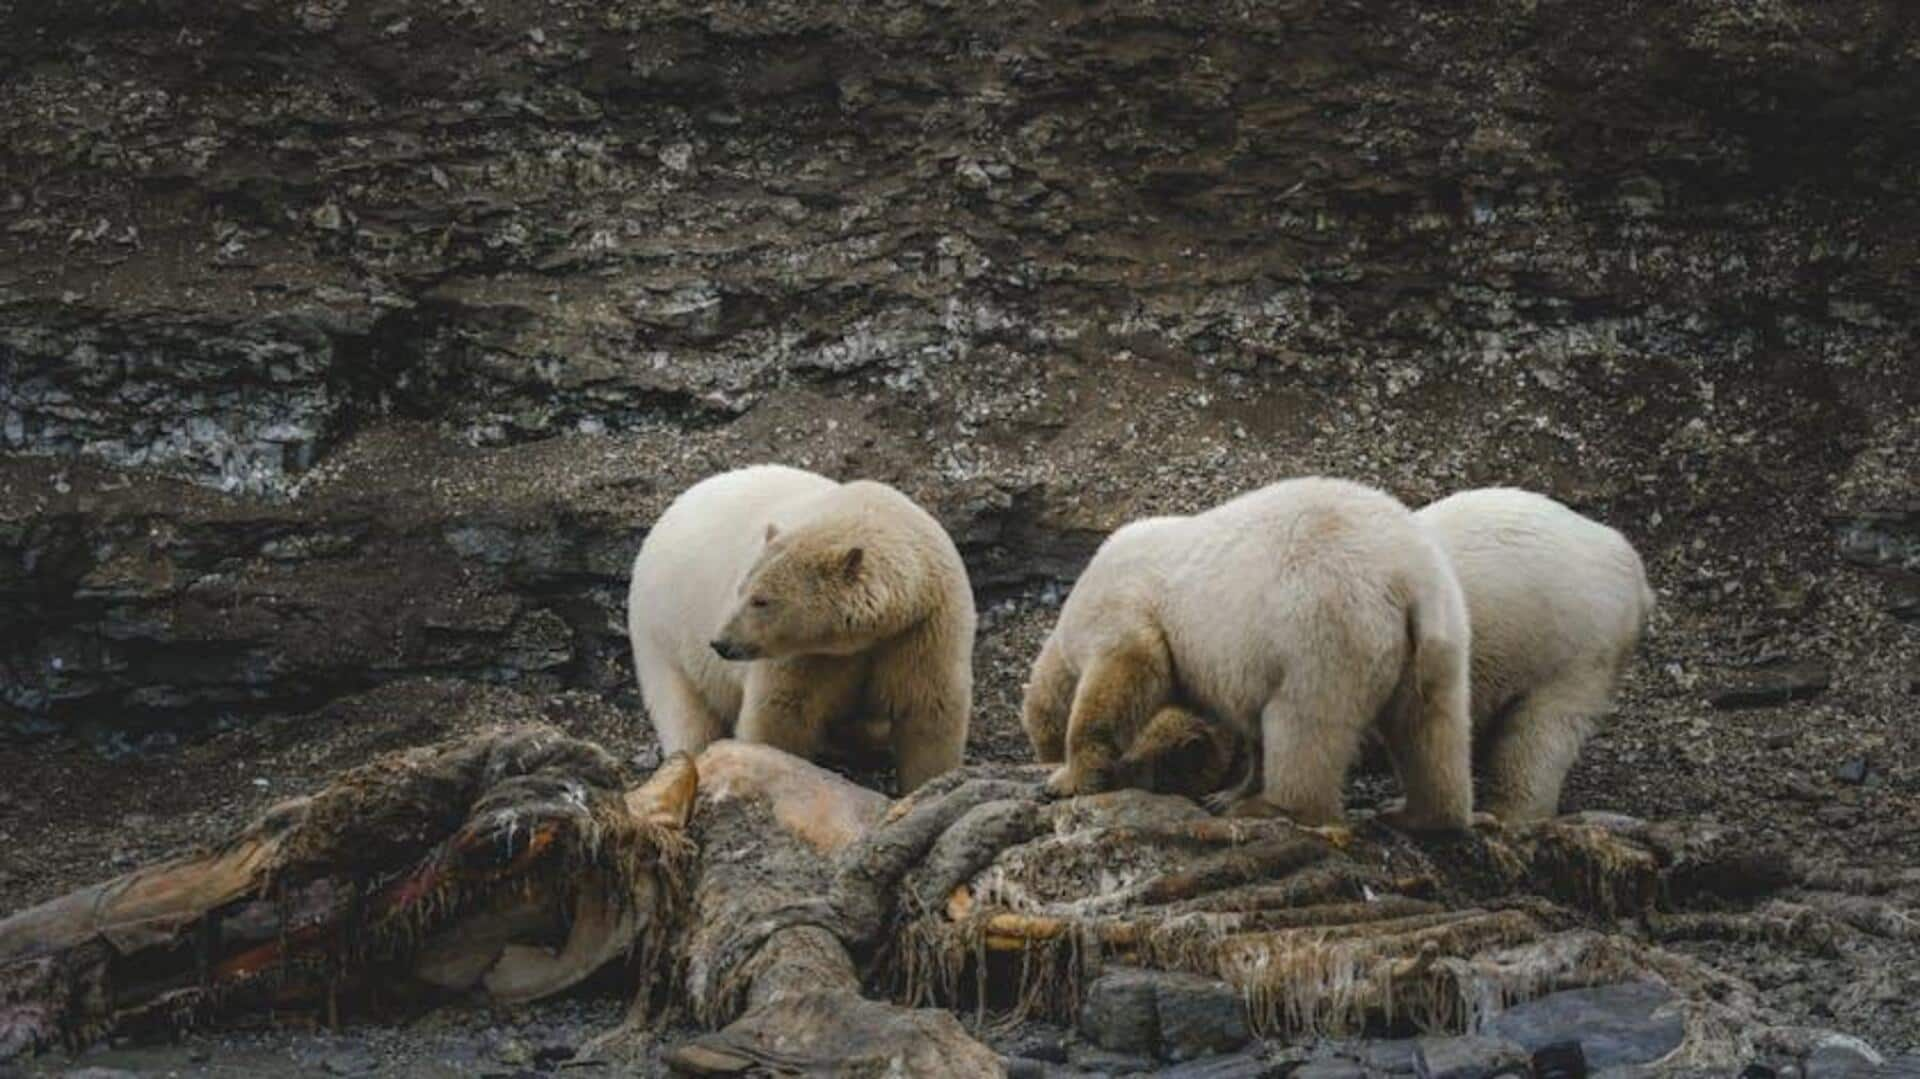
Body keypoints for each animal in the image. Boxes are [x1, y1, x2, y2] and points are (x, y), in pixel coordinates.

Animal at [629, 464, 975, 791]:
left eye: (761, 600)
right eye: (741, 590)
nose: (721, 643)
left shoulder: (921, 630)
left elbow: (928, 710)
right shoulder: (807, 657)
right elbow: (782, 714)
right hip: (664, 633)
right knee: (684, 711)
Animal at [1021, 474, 1466, 825]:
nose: (1042, 759)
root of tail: (1406, 574)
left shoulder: (1118, 605)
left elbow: (1127, 668)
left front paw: (1067, 779)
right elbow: (1249, 723)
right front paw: (1227, 791)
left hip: (1324, 623)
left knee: (1304, 723)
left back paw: (1276, 808)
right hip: (1438, 630)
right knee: (1428, 723)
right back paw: (1423, 814)